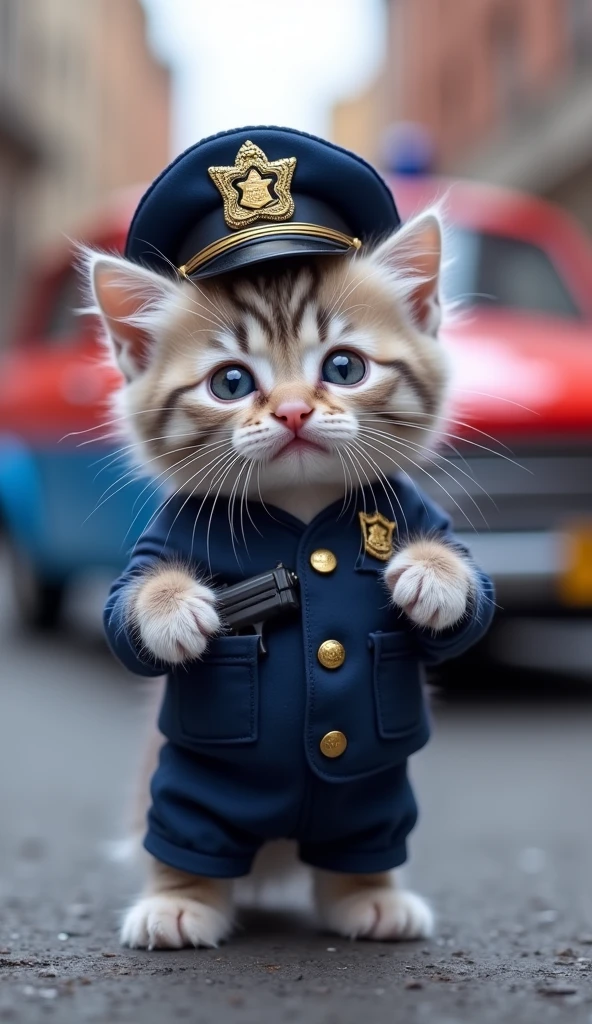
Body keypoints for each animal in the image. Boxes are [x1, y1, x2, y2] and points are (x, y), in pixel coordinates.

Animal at [87, 214, 481, 950]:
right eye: (231, 383)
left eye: (344, 368)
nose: (295, 411)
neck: (301, 511)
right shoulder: (162, 541)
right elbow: (124, 613)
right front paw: (174, 609)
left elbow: (469, 608)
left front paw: (431, 575)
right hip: (190, 785)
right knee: (186, 836)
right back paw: (178, 902)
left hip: (372, 792)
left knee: (363, 838)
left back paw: (369, 896)